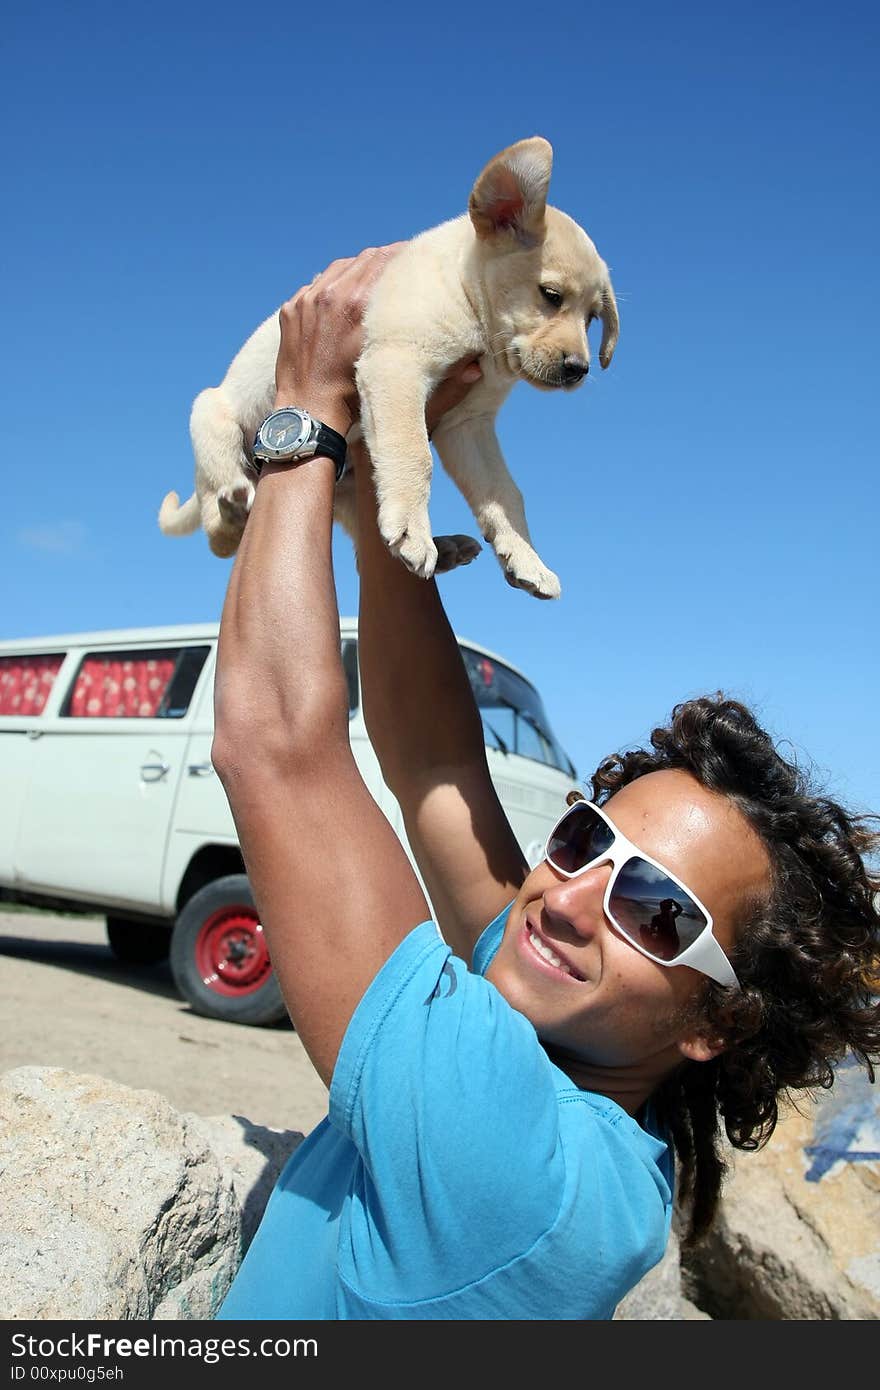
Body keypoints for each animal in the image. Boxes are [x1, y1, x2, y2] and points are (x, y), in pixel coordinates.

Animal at [159, 135, 625, 597]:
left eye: (592, 319)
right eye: (551, 295)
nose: (579, 369)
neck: (468, 299)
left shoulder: (468, 425)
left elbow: (503, 493)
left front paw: (526, 558)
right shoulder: (396, 365)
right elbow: (414, 452)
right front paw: (413, 531)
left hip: (346, 492)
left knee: (362, 556)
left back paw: (446, 548)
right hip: (211, 418)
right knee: (217, 530)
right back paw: (235, 504)